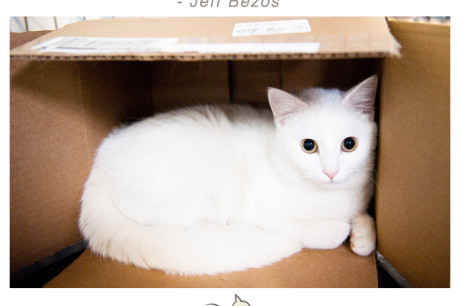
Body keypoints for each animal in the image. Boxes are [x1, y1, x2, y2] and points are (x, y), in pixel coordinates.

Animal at [79, 74, 380, 274]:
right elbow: (331, 231)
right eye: (309, 146)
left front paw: (363, 236)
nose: (331, 172)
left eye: (349, 144)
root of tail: (101, 158)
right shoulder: (267, 215)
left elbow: (363, 218)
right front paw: (343, 229)